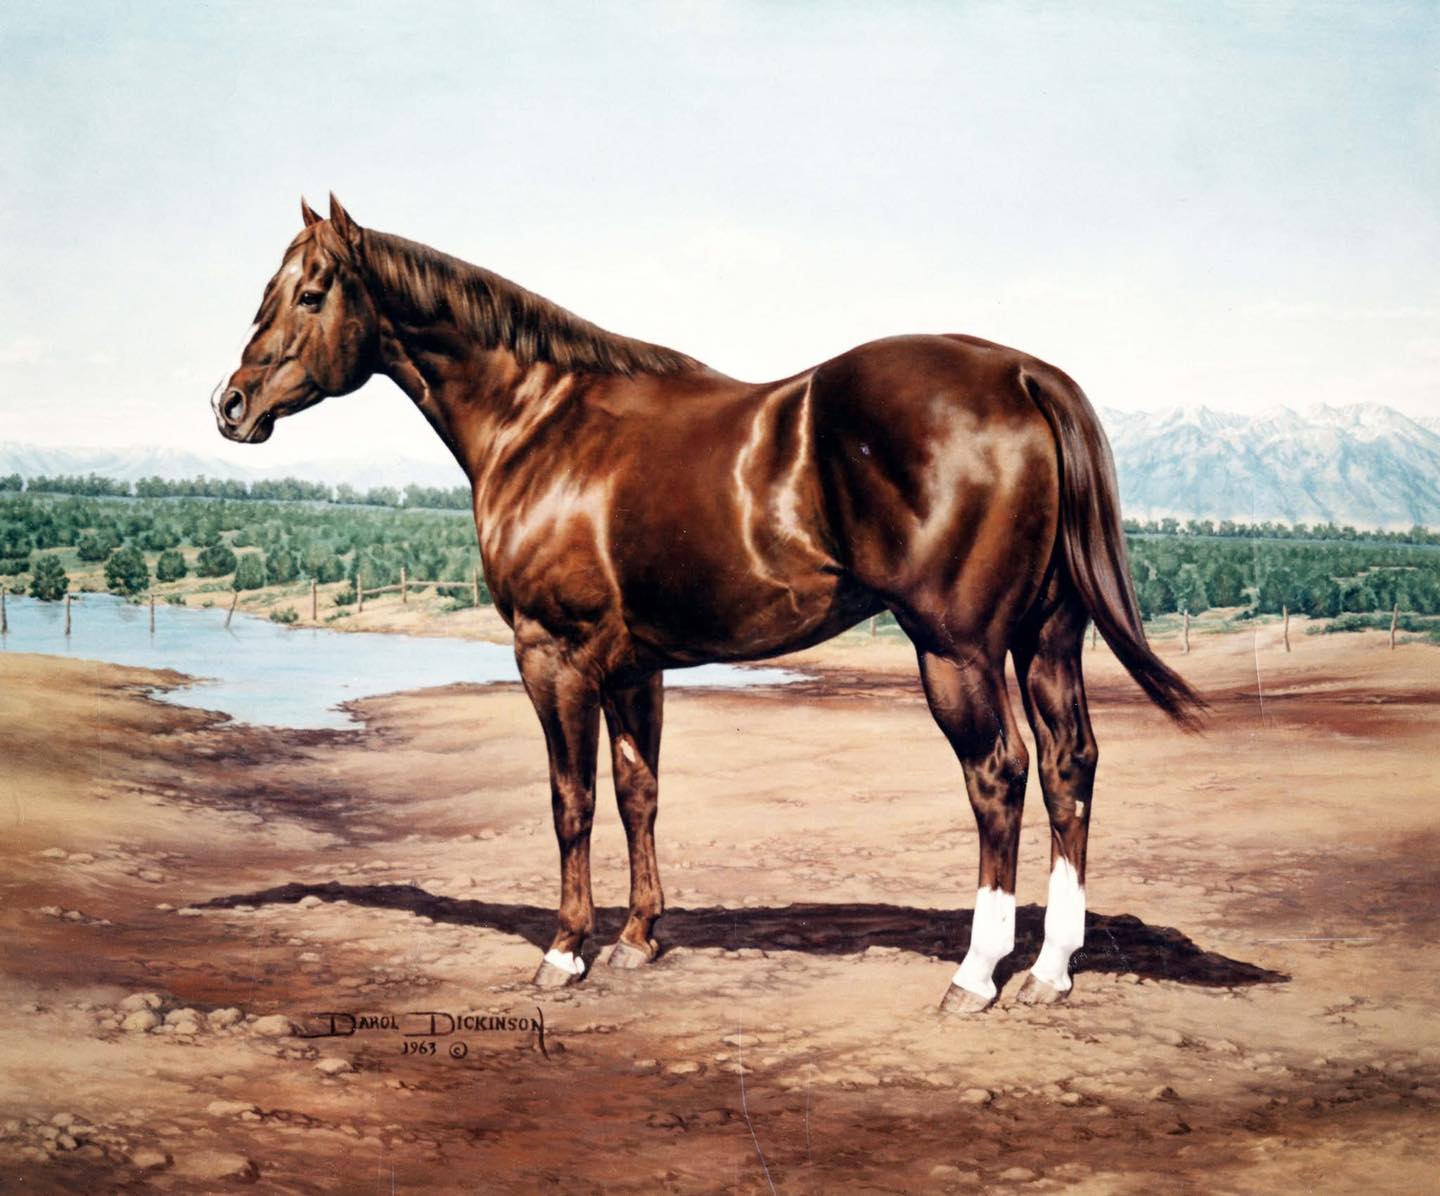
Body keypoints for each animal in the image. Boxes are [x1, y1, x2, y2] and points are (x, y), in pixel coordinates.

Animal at [213, 195, 1203, 1014]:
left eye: (310, 294)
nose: (231, 404)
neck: (541, 422)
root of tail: (1026, 377)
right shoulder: (632, 666)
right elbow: (636, 793)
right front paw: (638, 939)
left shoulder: (552, 654)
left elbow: (570, 800)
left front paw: (564, 952)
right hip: (1048, 640)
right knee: (1070, 767)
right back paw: (1050, 971)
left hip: (955, 649)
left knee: (998, 775)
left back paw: (976, 975)